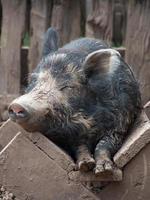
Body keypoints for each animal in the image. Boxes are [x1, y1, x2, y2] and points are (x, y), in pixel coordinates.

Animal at [8, 27, 142, 174]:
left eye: (67, 86)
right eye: (33, 80)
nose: (16, 105)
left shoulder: (120, 123)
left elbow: (105, 144)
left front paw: (103, 170)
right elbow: (79, 146)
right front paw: (85, 165)